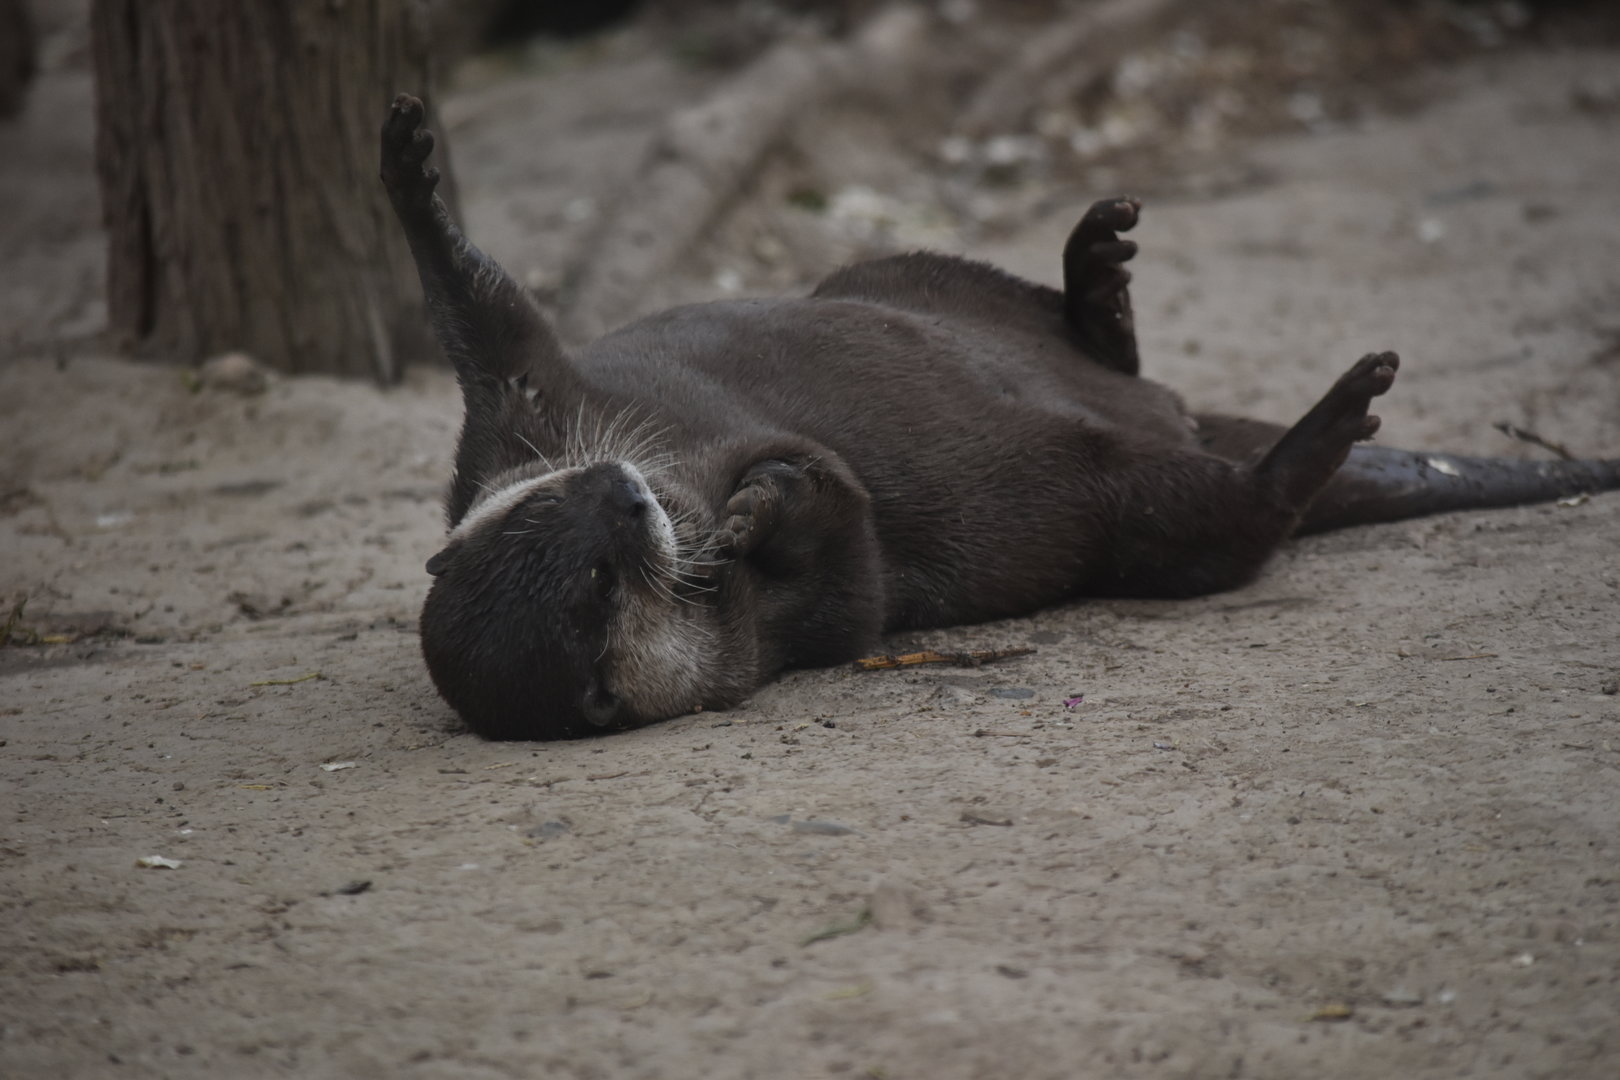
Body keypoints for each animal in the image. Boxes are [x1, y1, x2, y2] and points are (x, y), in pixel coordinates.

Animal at [380, 94, 1619, 741]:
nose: (619, 490)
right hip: (1141, 515)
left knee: (1068, 331)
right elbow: (855, 556)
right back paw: (1336, 416)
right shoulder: (792, 634)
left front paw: (410, 163)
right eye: (598, 581)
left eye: (557, 510)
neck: (674, 468)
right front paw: (768, 508)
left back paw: (1100, 269)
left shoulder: (534, 417)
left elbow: (491, 317)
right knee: (1234, 524)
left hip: (893, 270)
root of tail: (1177, 425)